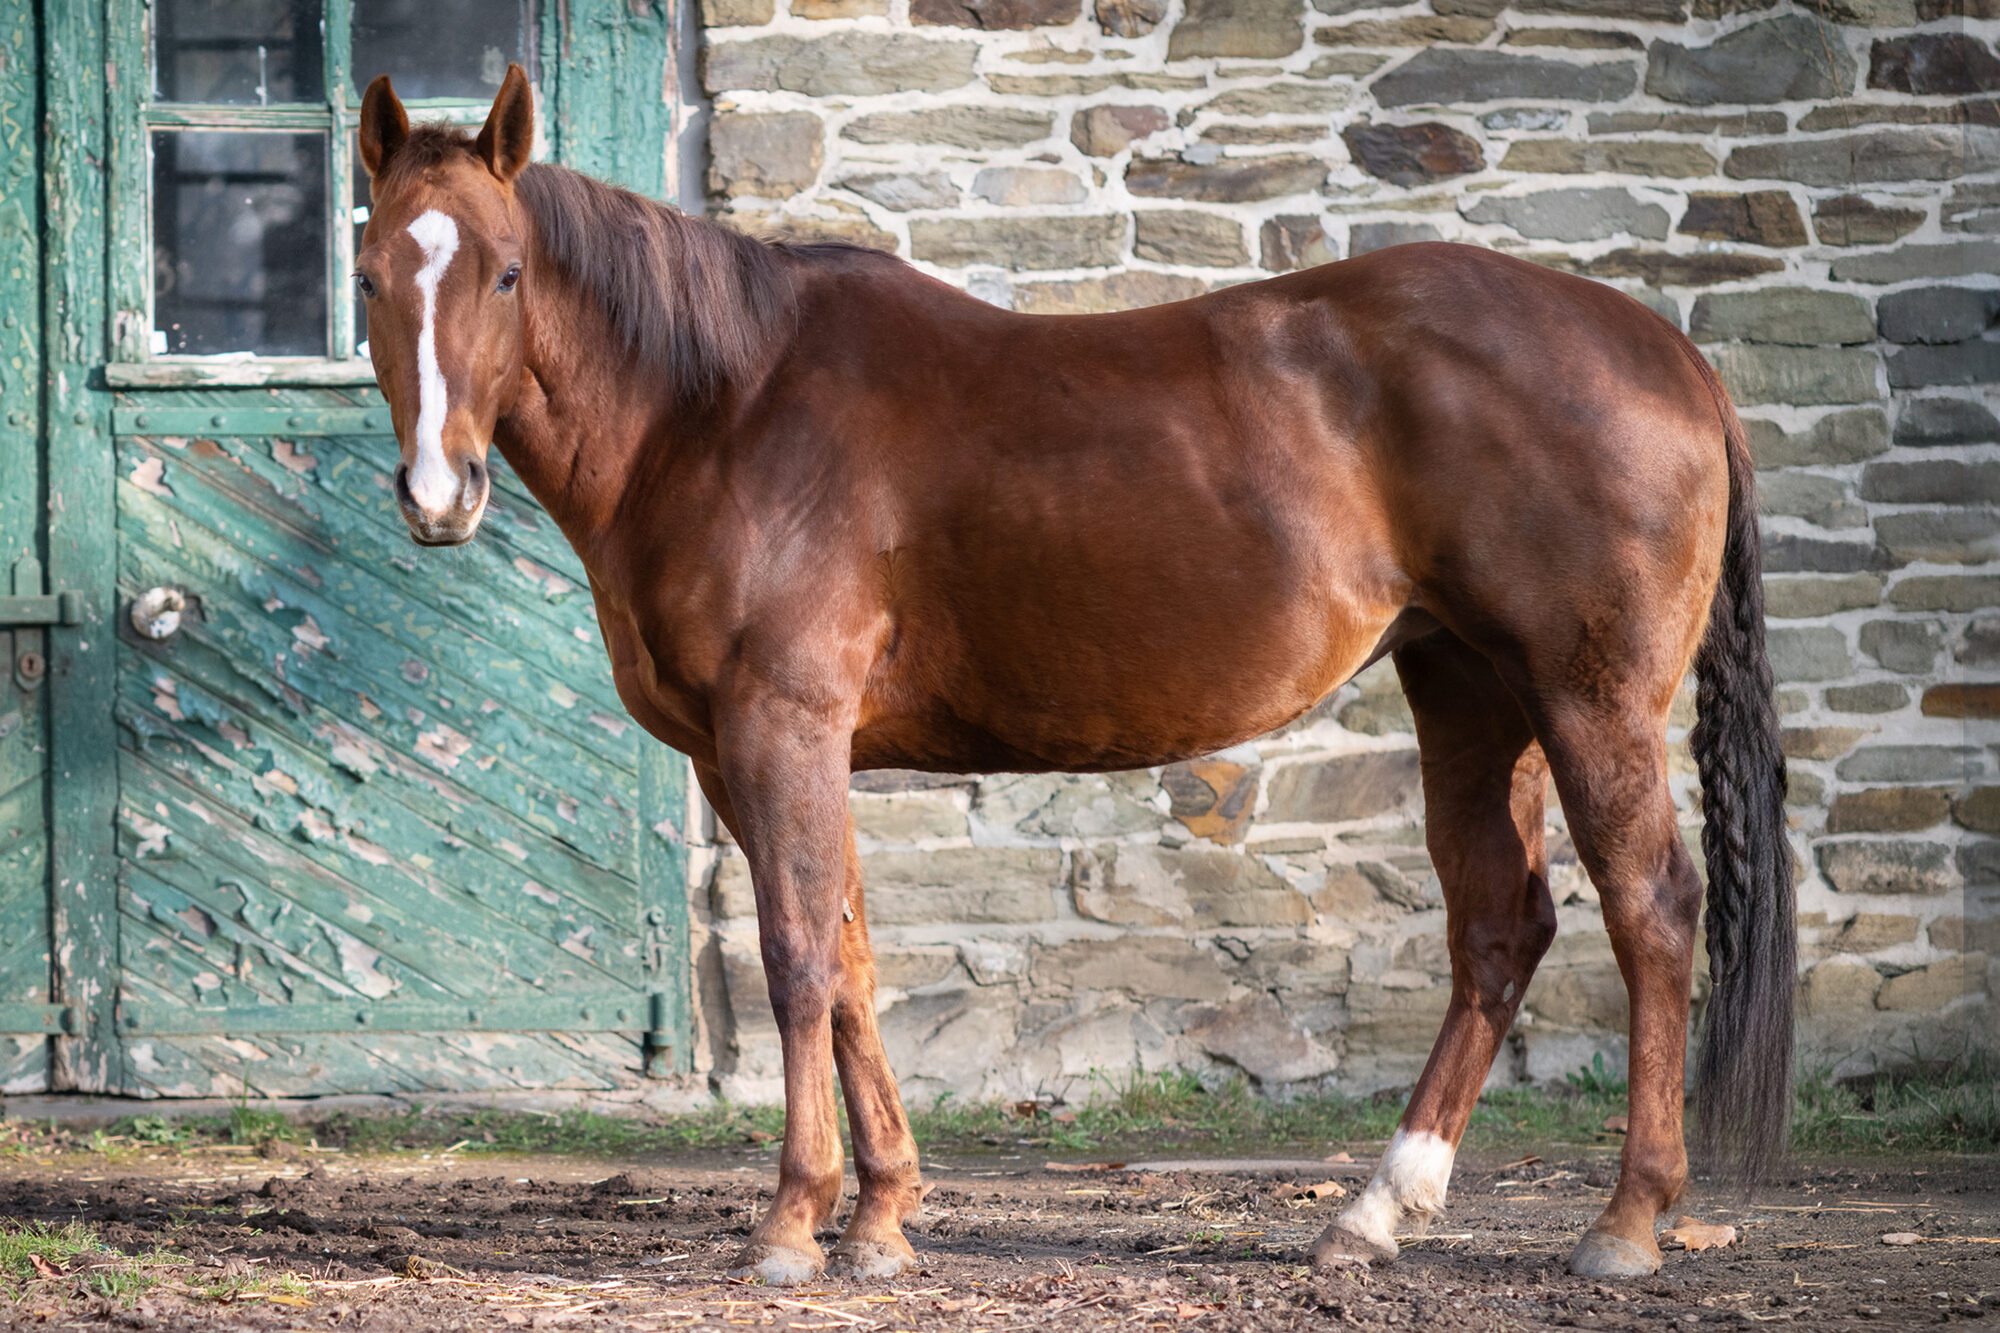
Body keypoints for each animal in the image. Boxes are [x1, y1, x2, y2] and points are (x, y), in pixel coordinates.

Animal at [353, 65, 1795, 1285]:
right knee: (1502, 925)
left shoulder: (780, 727)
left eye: (506, 273)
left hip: (1587, 700)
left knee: (1651, 910)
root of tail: (1671, 356)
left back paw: (1625, 1222)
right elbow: (854, 956)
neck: (724, 408)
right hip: (1469, 694)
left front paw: (792, 1223)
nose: (436, 494)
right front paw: (881, 1218)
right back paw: (1376, 1210)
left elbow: (798, 956)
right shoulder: (750, 750)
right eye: (368, 277)